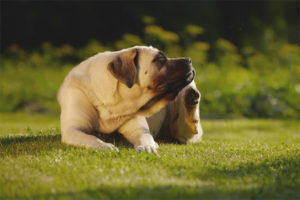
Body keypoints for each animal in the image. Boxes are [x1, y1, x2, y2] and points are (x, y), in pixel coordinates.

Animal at [56, 45, 202, 153]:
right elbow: (91, 138)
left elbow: (145, 136)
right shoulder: (73, 130)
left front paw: (147, 146)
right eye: (160, 59)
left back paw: (191, 99)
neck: (111, 105)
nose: (189, 59)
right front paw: (104, 146)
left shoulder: (138, 128)